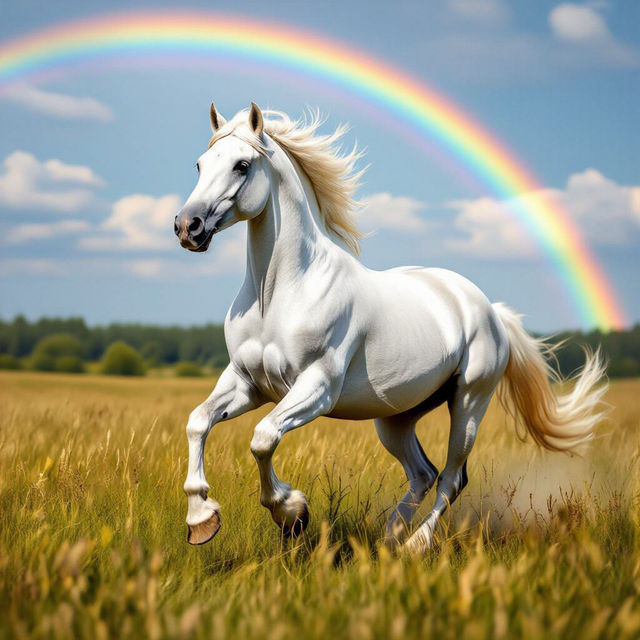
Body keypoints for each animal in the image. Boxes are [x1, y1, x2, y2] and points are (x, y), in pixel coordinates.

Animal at [173, 102, 606, 553]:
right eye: (200, 164)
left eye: (242, 165)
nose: (188, 227)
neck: (276, 295)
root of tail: (490, 310)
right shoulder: (247, 383)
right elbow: (198, 421)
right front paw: (202, 519)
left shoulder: (316, 387)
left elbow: (262, 438)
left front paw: (291, 512)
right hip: (397, 418)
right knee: (423, 473)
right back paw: (389, 538)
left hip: (470, 401)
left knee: (451, 478)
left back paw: (415, 544)